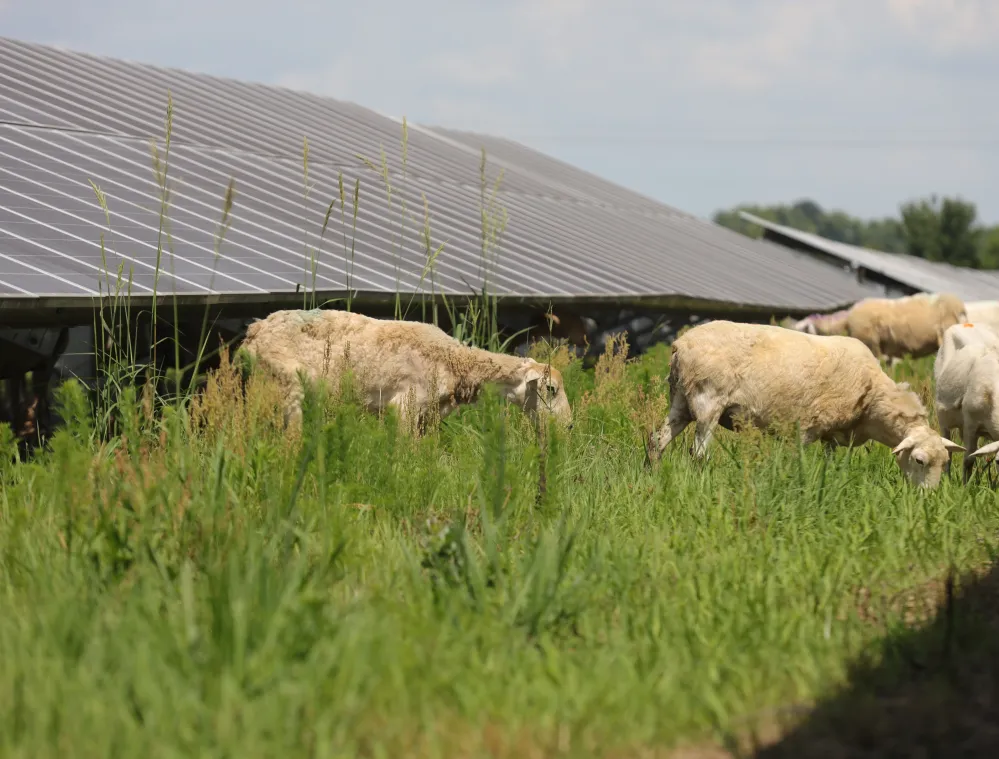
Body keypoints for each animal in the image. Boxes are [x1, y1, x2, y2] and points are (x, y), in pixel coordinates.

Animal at [238, 308, 573, 432]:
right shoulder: (405, 405)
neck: (455, 362)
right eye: (551, 389)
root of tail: (255, 330)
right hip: (287, 384)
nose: (569, 426)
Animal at [646, 320, 964, 488]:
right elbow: (796, 460)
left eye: (945, 463)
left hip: (680, 401)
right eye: (919, 460)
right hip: (707, 401)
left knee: (656, 440)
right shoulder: (804, 427)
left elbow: (829, 461)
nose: (928, 498)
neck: (872, 399)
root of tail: (680, 345)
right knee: (698, 453)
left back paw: (653, 474)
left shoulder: (832, 435)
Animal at [933, 321, 999, 483]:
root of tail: (966, 323)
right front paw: (965, 485)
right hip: (943, 419)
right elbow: (969, 459)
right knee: (948, 450)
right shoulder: (970, 424)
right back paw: (947, 478)